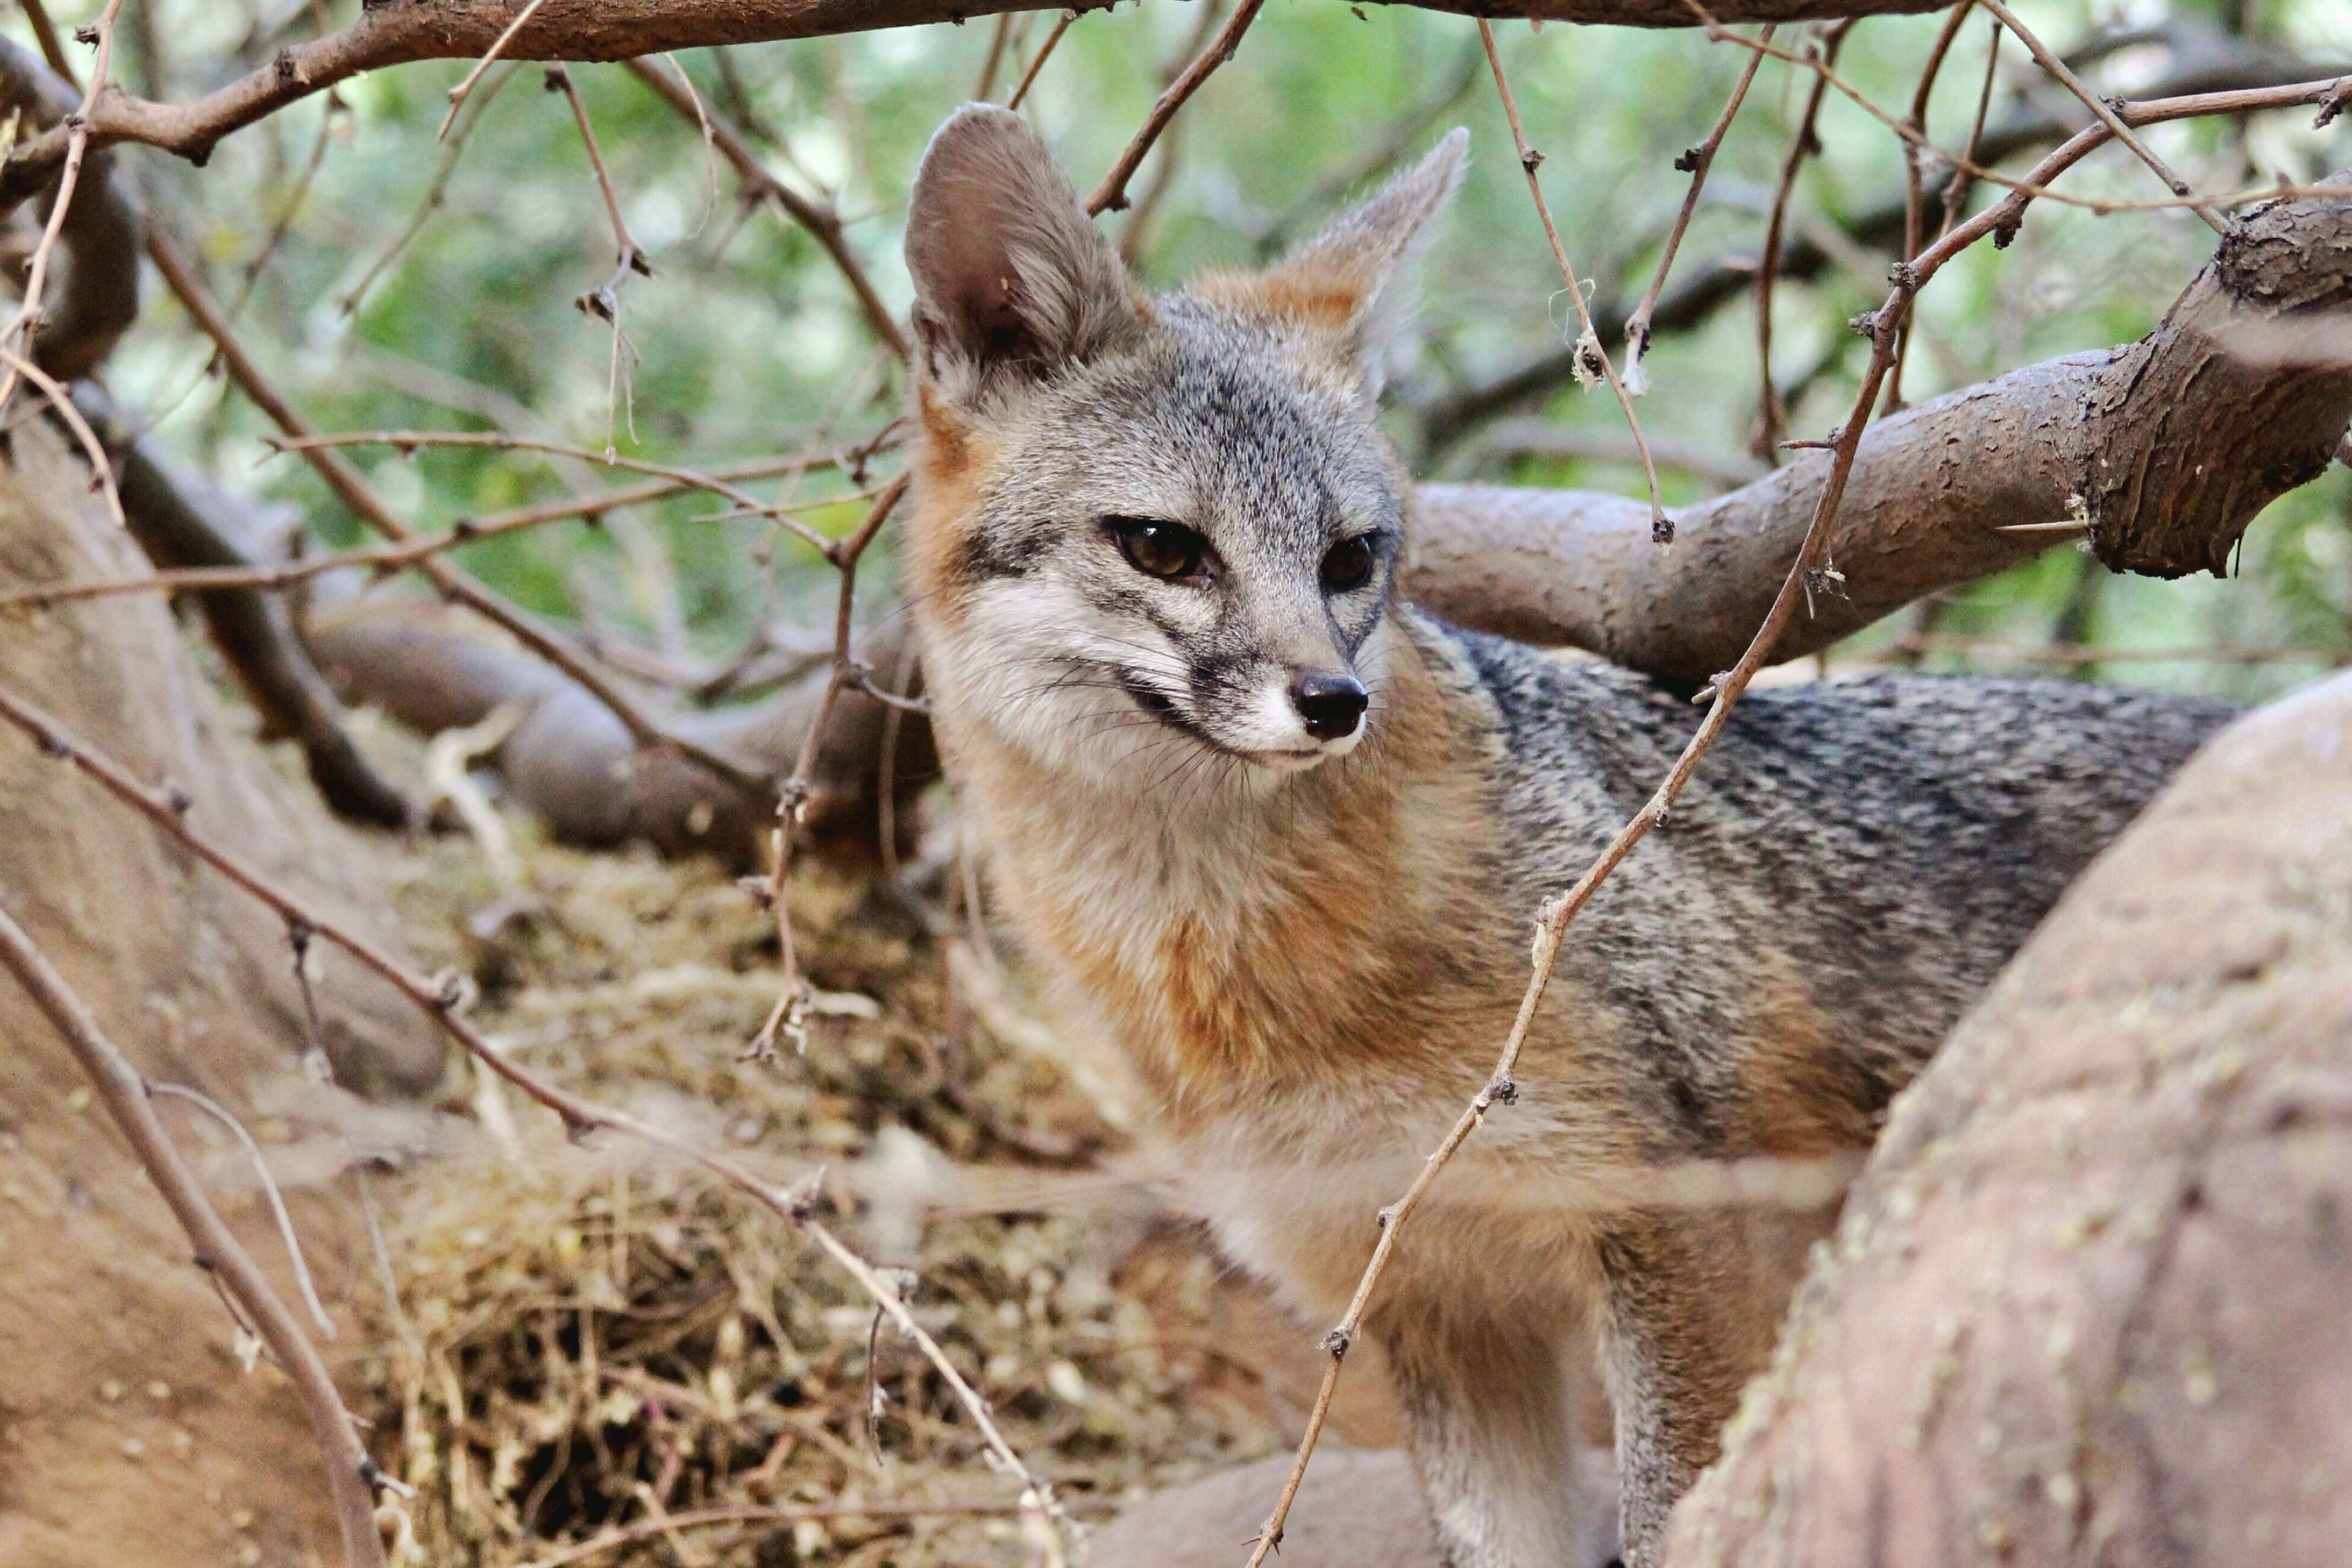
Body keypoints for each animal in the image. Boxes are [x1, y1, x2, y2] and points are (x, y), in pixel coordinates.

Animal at [894, 104, 2220, 1561]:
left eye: (1350, 559)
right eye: (1162, 548)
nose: (1335, 702)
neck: (1256, 981)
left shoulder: (1676, 1229)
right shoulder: (1430, 1294)